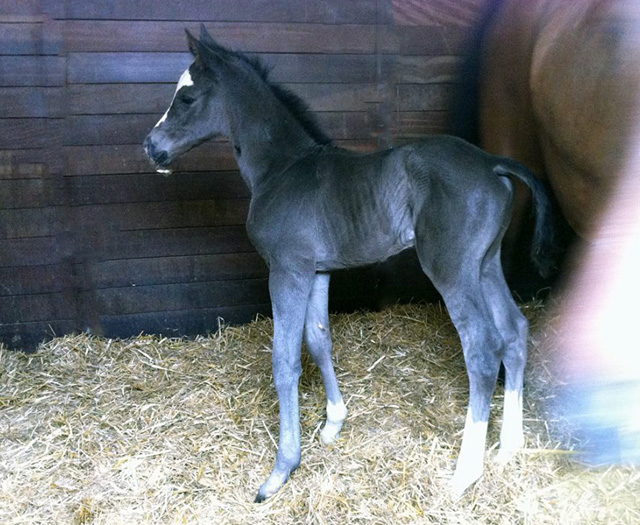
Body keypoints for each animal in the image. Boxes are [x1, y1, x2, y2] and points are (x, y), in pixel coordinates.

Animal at [142, 26, 552, 502]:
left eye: (187, 97)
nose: (151, 147)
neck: (281, 168)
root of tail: (493, 162)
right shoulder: (317, 270)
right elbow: (319, 340)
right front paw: (333, 423)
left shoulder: (287, 269)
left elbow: (285, 360)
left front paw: (281, 470)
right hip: (485, 265)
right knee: (514, 331)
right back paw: (509, 447)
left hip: (452, 270)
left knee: (483, 348)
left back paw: (465, 473)